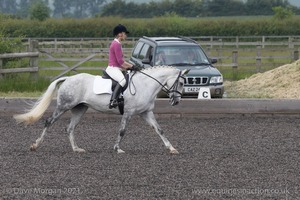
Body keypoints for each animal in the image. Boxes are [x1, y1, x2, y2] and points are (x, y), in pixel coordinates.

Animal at [14, 66, 188, 154]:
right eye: (180, 83)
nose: (176, 101)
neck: (145, 85)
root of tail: (68, 78)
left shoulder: (146, 113)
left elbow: (159, 130)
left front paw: (172, 148)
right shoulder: (128, 113)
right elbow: (122, 131)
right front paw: (117, 149)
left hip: (80, 109)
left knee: (69, 128)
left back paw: (77, 149)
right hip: (64, 106)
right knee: (49, 122)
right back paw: (35, 145)